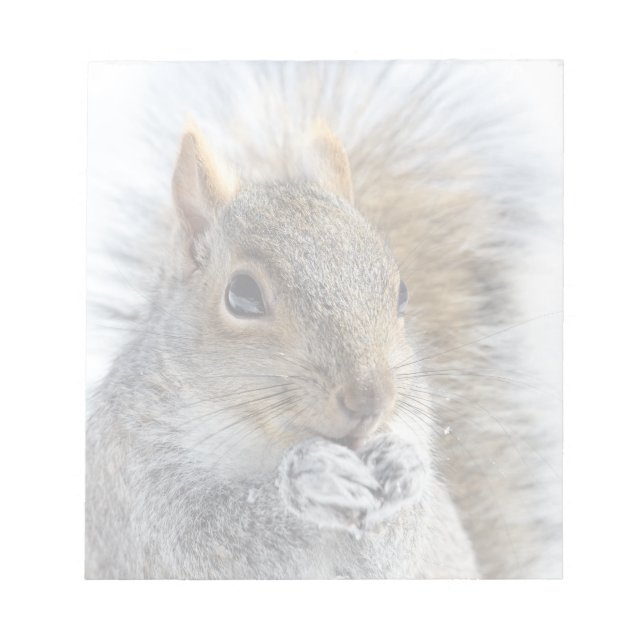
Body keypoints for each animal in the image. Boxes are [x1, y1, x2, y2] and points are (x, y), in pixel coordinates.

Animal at [86, 62, 562, 579]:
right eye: (242, 295)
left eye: (401, 293)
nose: (370, 398)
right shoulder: (135, 483)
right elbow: (203, 540)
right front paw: (309, 480)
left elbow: (401, 543)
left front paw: (401, 468)